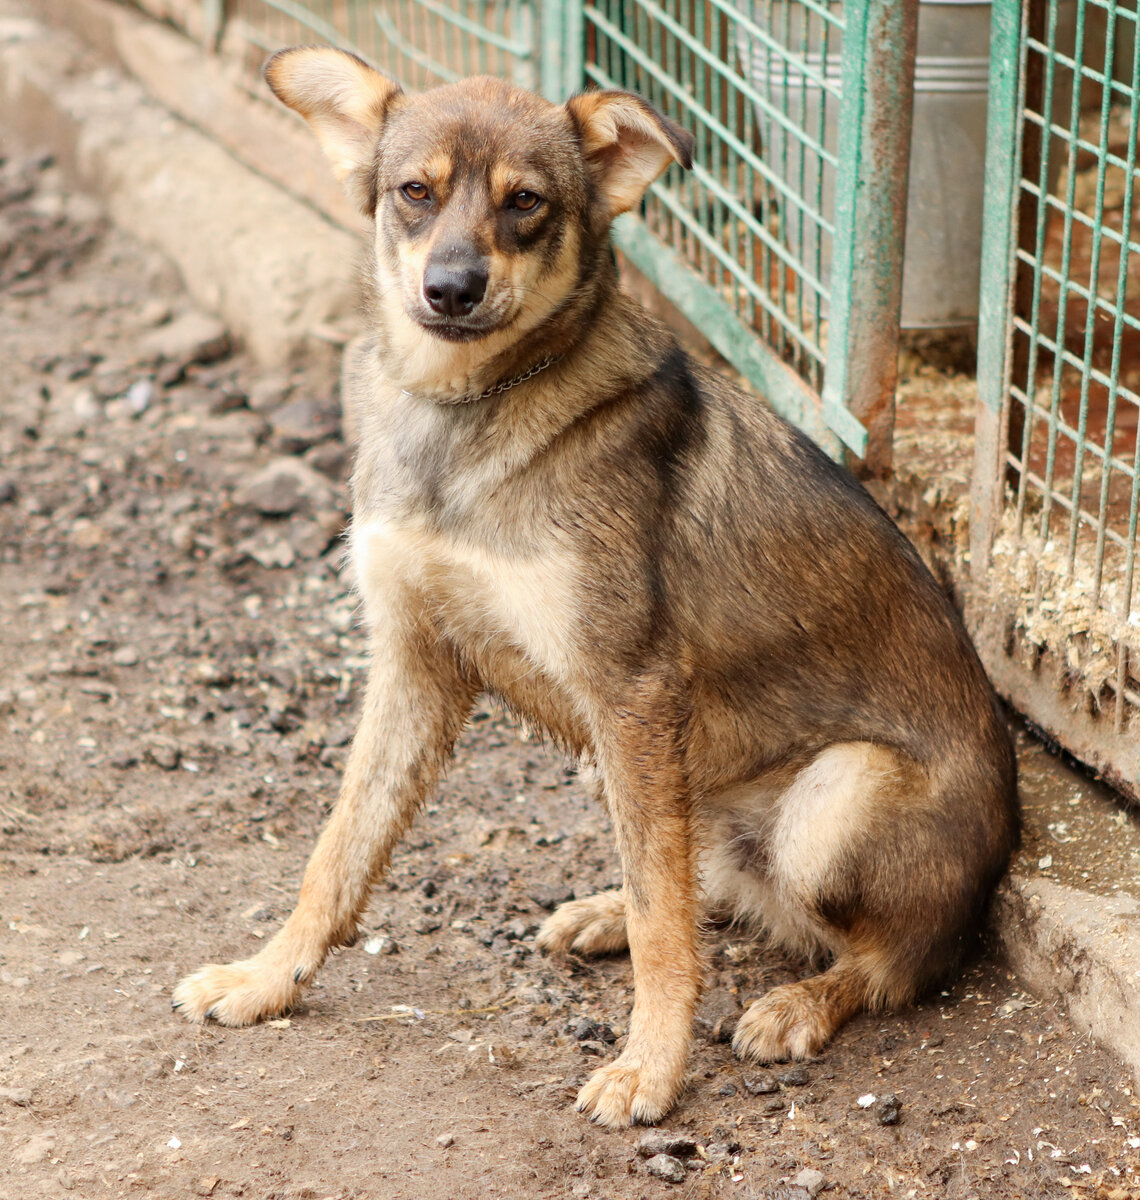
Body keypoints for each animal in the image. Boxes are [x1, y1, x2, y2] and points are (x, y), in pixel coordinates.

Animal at [171, 46, 1027, 1128]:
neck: (469, 412)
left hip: (830, 800)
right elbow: (338, 853)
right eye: (414, 193)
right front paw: (265, 979)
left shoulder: (634, 691)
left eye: (525, 203)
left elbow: (668, 926)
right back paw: (602, 912)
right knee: (707, 883)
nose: (450, 289)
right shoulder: (417, 666)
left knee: (893, 962)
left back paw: (800, 1003)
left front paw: (651, 1067)